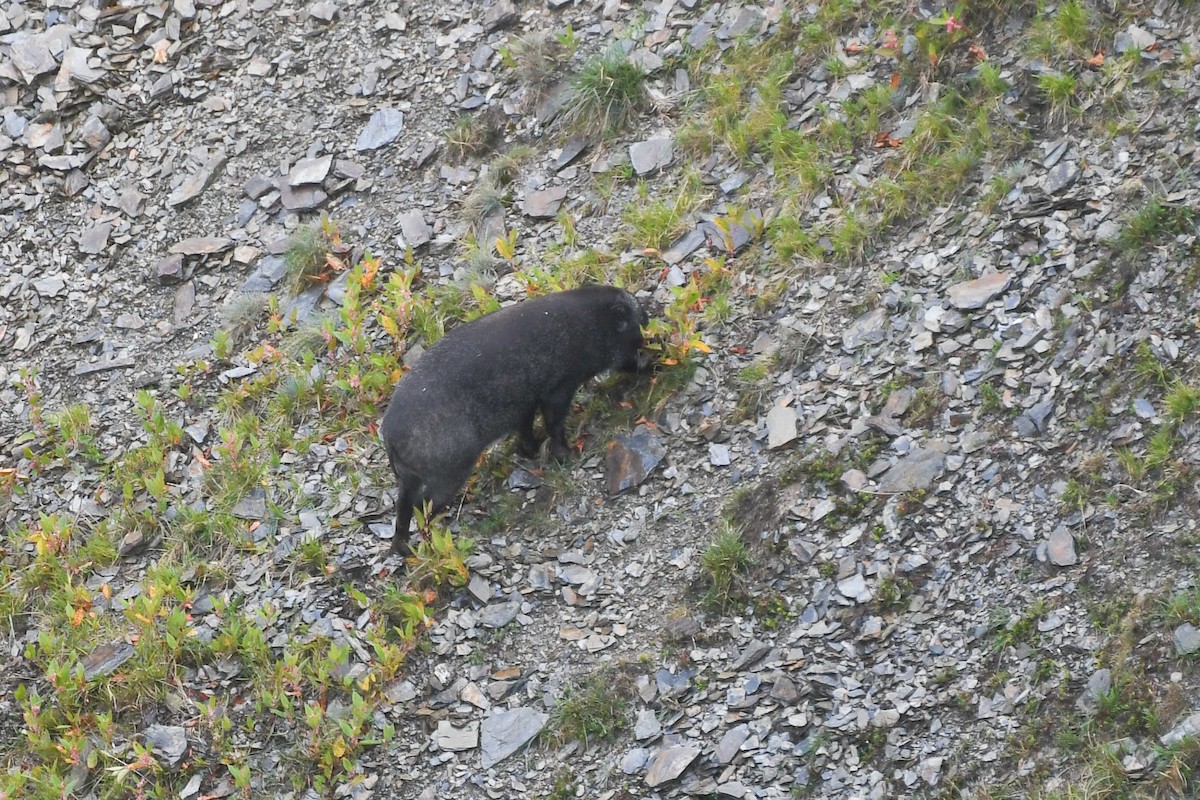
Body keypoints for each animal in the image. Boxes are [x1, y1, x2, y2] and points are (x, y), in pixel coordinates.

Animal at [381, 285, 650, 556]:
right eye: (637, 324)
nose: (649, 360)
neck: (590, 323)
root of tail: (390, 435)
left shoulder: (527, 404)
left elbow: (526, 428)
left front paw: (531, 450)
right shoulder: (559, 387)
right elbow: (554, 423)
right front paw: (567, 454)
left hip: (413, 478)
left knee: (404, 509)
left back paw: (403, 549)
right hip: (449, 471)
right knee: (422, 507)